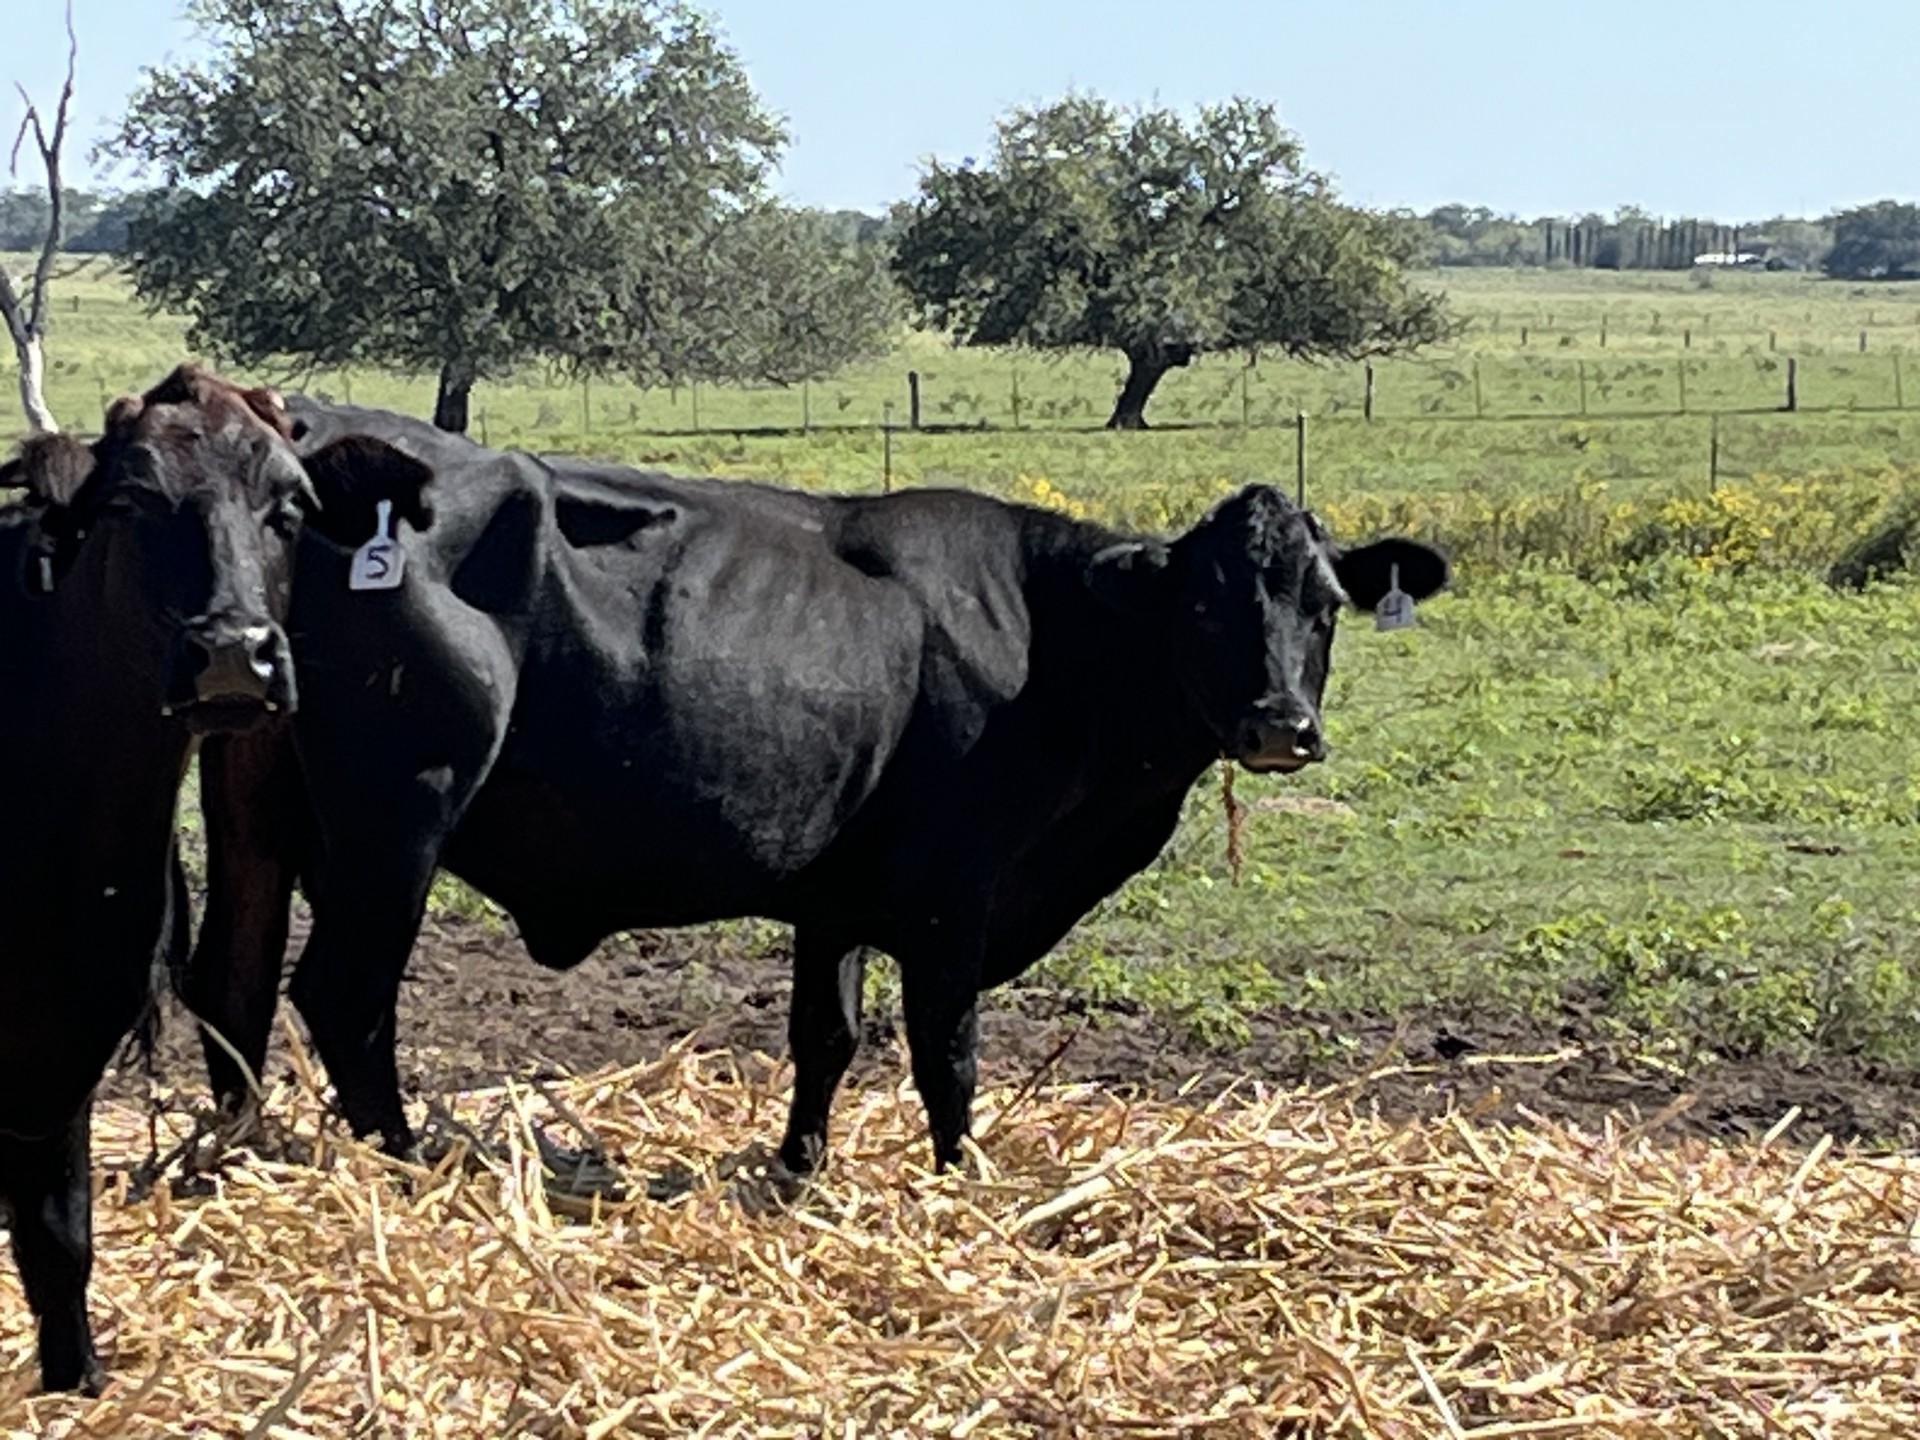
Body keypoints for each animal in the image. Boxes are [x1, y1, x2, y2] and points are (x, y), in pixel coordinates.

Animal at [0, 366, 418, 1390]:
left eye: (291, 506)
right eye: (131, 500)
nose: (235, 651)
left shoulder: (68, 1040)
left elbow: (59, 1242)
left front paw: (78, 1381)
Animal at [194, 403, 1443, 1182]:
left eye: (1326, 603)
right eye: (1204, 604)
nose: (1281, 725)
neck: (1047, 638)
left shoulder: (836, 896)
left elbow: (827, 1039)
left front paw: (800, 1171)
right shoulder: (953, 893)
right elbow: (947, 1048)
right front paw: (961, 1181)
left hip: (262, 822)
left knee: (230, 984)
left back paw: (236, 1152)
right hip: (396, 821)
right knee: (343, 995)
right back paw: (407, 1161)